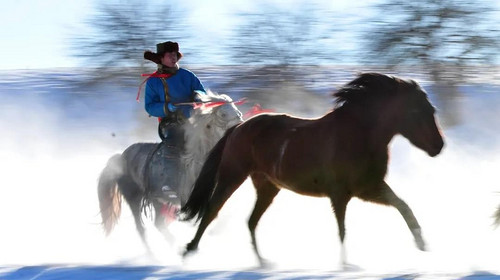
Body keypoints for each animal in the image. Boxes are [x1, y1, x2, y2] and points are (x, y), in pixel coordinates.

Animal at [97, 90, 242, 252]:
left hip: (158, 201)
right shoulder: (189, 199)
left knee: (159, 224)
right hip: (134, 197)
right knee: (141, 228)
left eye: (236, 108)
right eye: (223, 113)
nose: (240, 126)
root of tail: (120, 157)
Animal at [181, 72, 446, 266]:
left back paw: (263, 262)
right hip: (232, 176)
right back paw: (189, 250)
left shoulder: (369, 188)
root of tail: (238, 128)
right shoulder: (340, 194)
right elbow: (342, 230)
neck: (359, 136)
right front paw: (346, 265)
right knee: (212, 210)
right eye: (416, 110)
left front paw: (422, 244)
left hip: (267, 186)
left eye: (431, 110)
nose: (439, 146)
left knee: (251, 221)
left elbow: (403, 206)